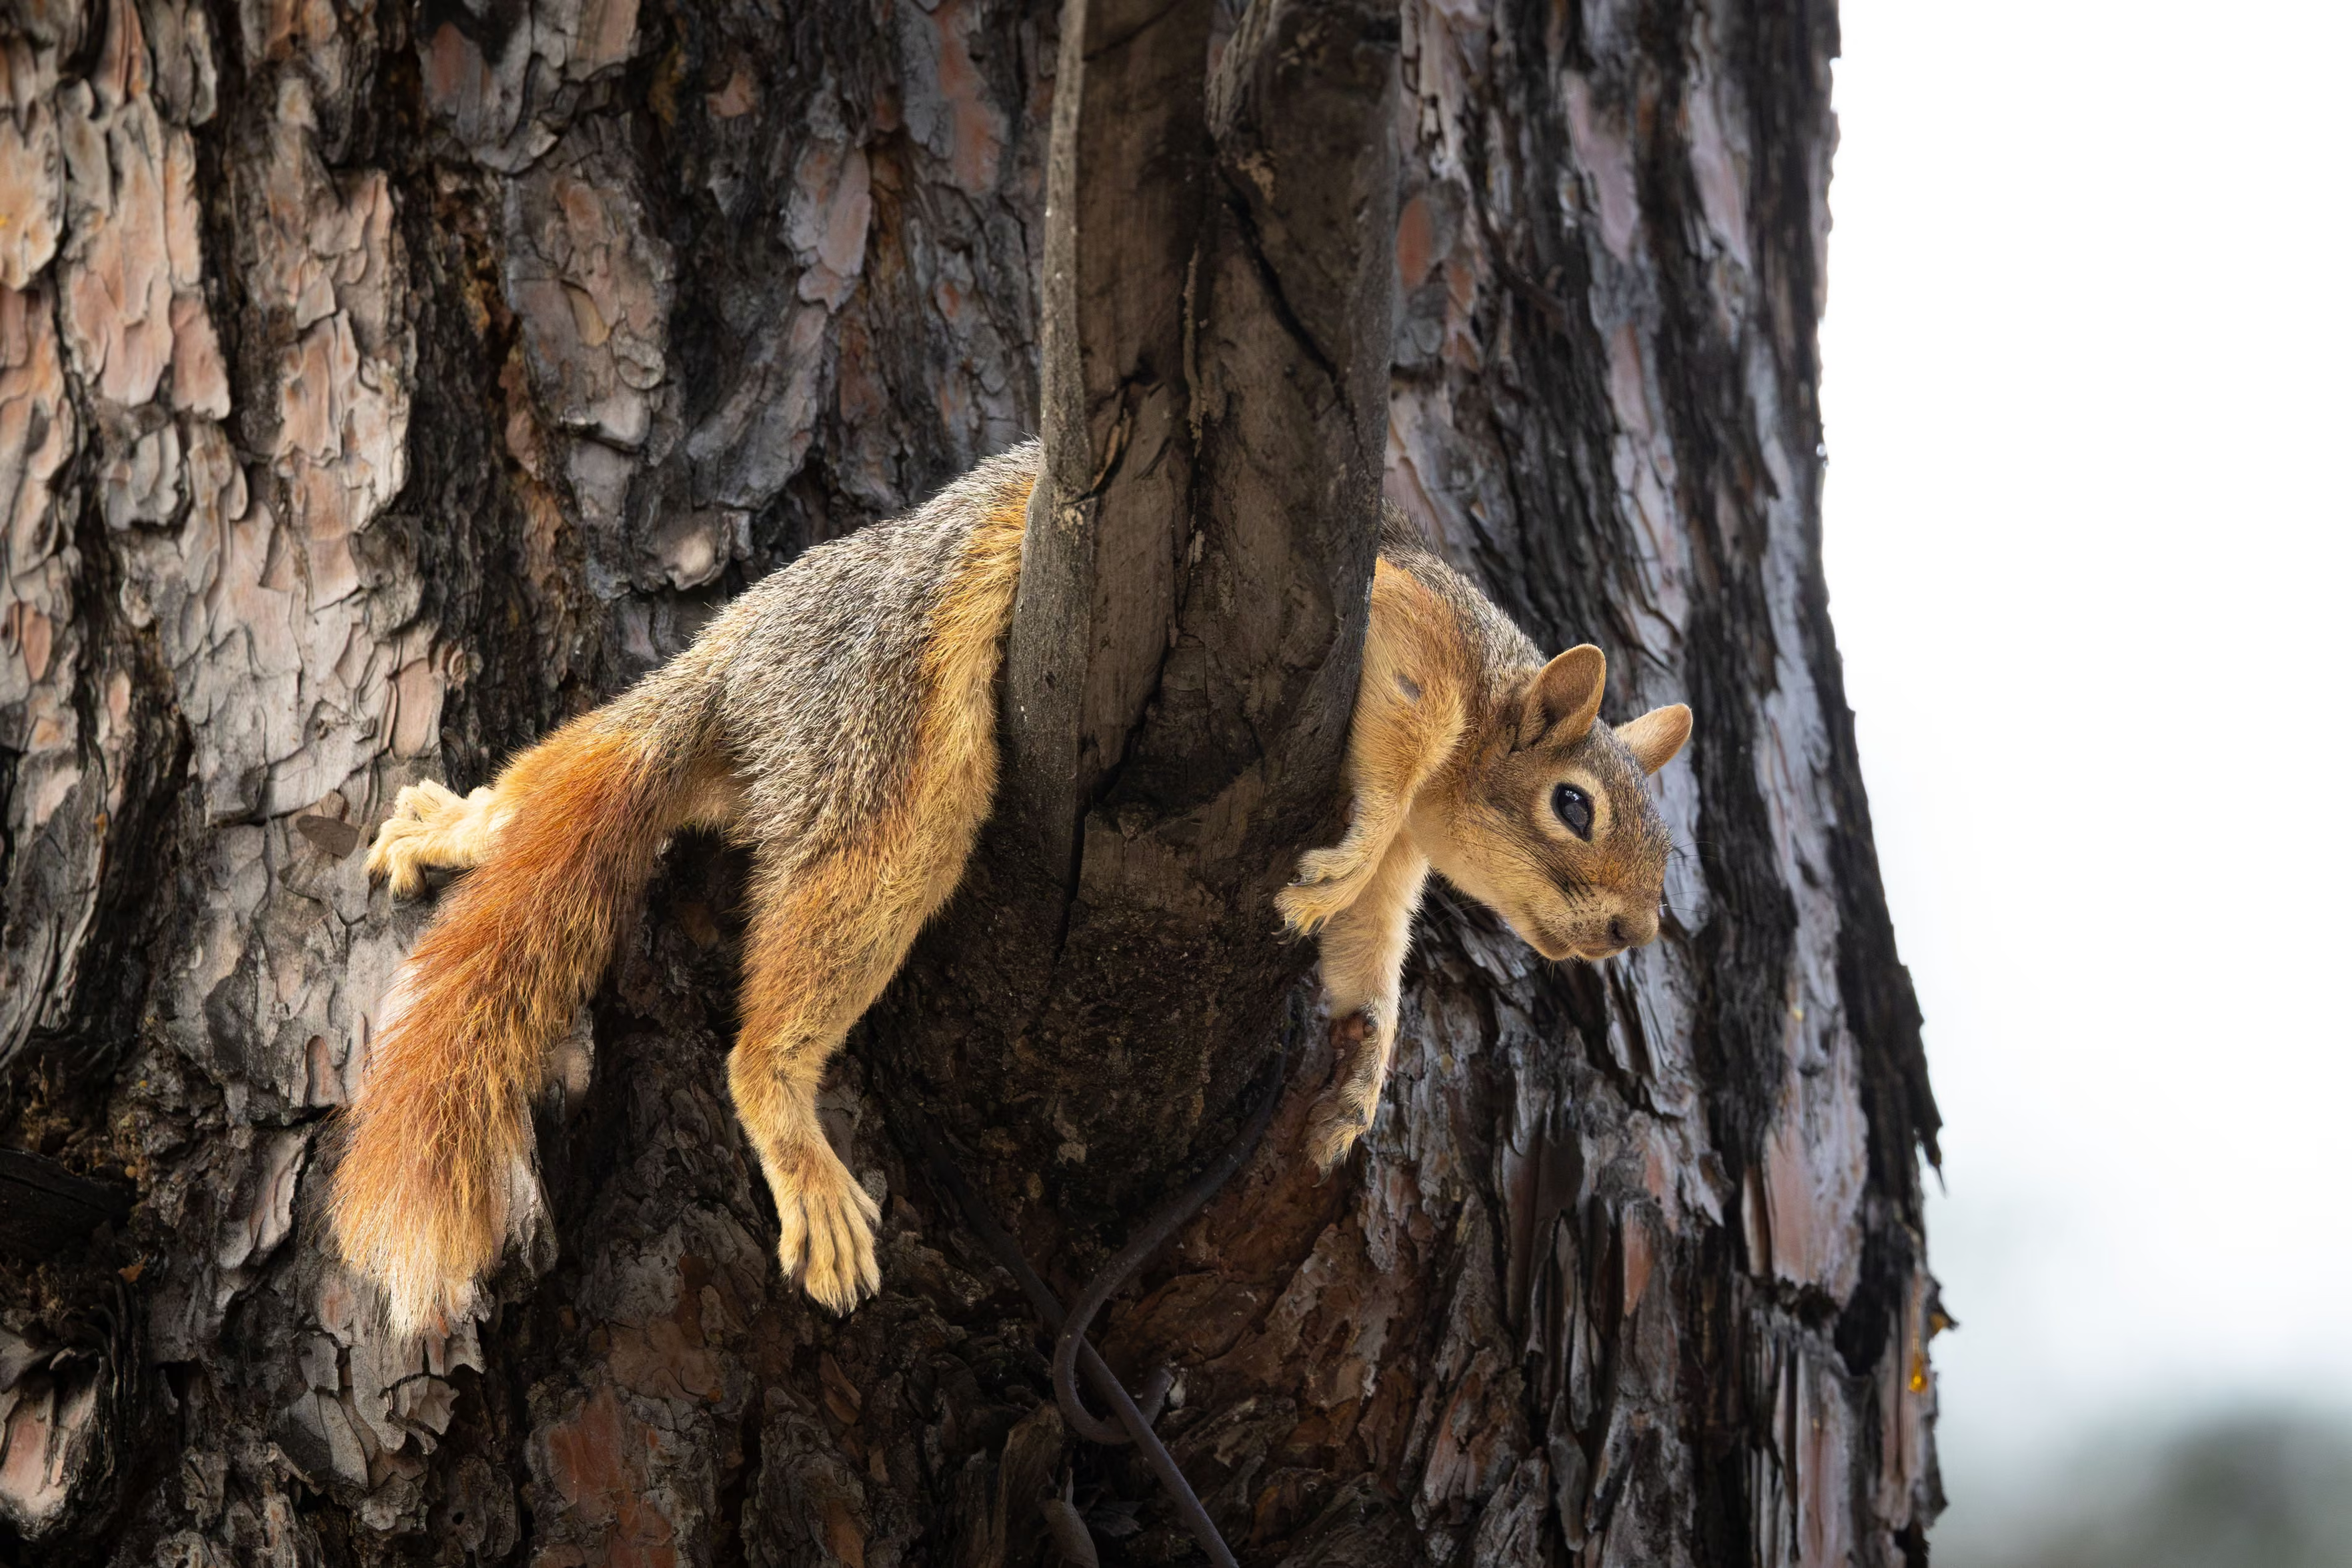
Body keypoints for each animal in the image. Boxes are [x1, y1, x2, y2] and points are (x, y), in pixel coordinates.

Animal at [331, 440, 1691, 1336]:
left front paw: (1358, 1071)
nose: (1630, 930)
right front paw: (1338, 862)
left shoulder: (1412, 865)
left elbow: (1370, 957)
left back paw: (453, 828)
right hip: (892, 767)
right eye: (1574, 807)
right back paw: (800, 1147)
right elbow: (1386, 778)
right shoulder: (1407, 646)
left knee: (554, 784)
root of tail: (741, 679)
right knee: (777, 1013)